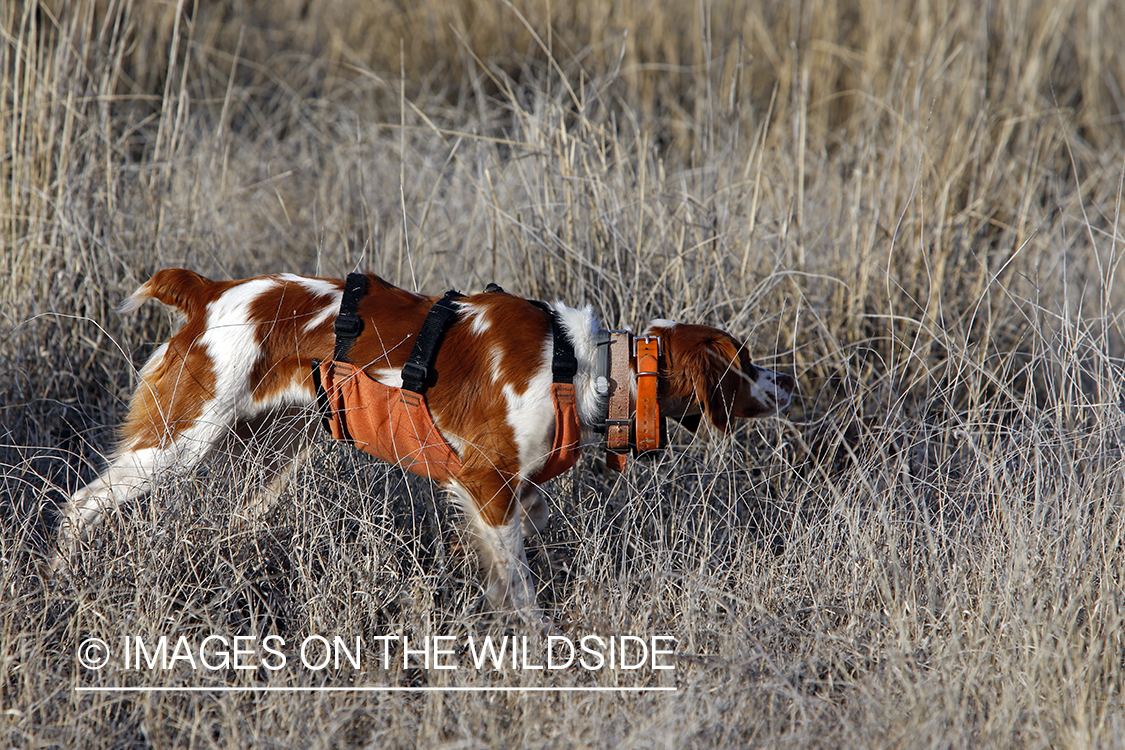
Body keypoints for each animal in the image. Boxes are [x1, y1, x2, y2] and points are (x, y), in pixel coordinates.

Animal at [50, 266, 792, 620]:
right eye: (746, 361)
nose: (789, 382)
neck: (586, 369)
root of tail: (210, 293)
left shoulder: (506, 494)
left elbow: (514, 549)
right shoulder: (487, 483)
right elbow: (521, 590)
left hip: (278, 450)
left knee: (239, 520)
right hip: (181, 438)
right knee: (79, 505)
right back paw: (61, 580)